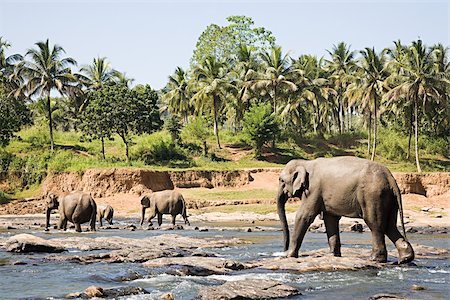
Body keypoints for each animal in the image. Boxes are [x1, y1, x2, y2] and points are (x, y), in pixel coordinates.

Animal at [278, 156, 414, 264]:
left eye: (281, 180)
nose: (283, 250)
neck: (306, 163)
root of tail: (390, 177)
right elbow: (330, 219)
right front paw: (333, 255)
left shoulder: (313, 190)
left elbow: (304, 216)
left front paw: (289, 255)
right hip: (388, 198)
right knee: (390, 225)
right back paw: (405, 259)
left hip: (373, 195)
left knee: (375, 224)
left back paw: (375, 259)